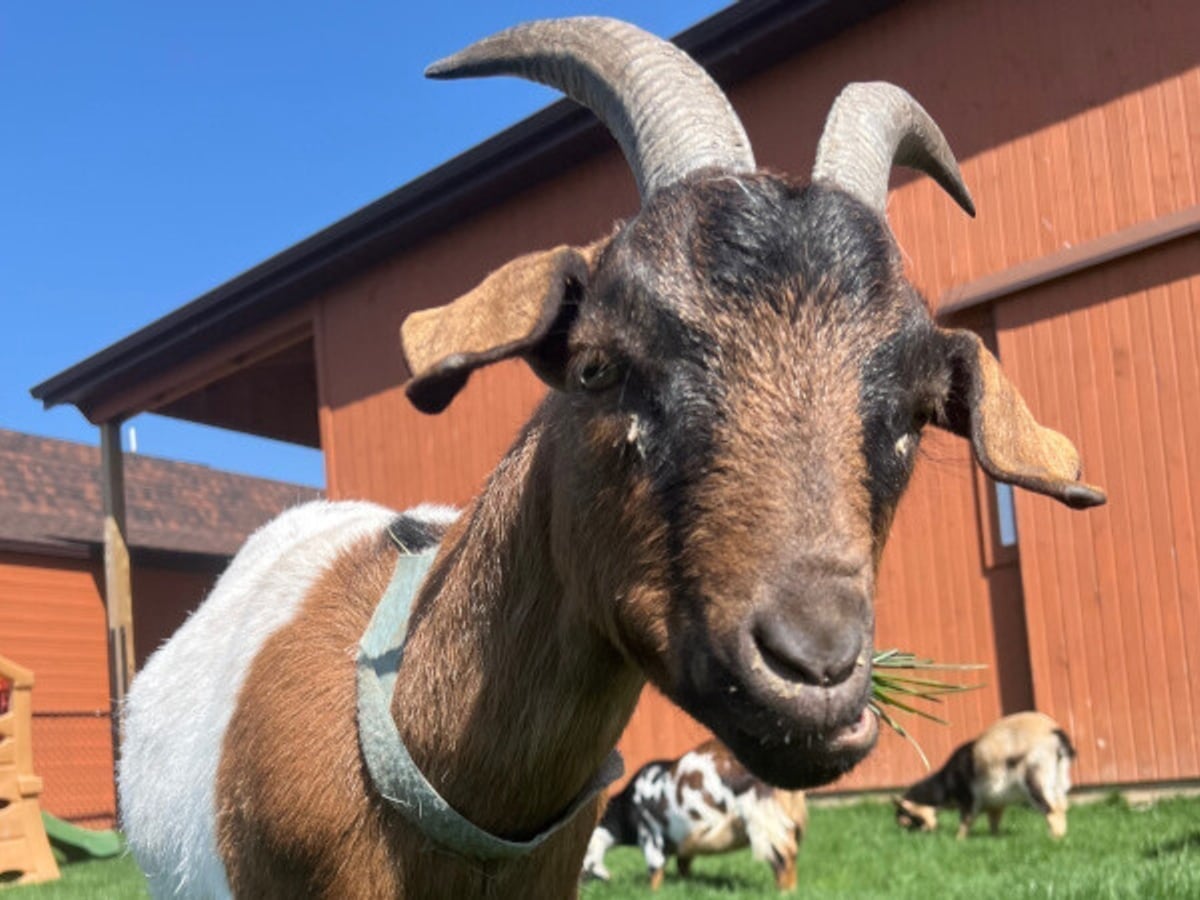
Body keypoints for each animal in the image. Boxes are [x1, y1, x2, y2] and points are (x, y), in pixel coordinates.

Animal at [582, 738, 807, 891]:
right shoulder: (685, 841)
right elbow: (683, 866)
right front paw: (685, 885)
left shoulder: (650, 833)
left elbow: (654, 869)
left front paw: (651, 891)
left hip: (763, 820)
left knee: (782, 856)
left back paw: (785, 892)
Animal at [894, 712, 1076, 839]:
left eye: (905, 819)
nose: (909, 836)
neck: (945, 783)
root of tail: (1055, 733)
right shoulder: (995, 802)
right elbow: (994, 820)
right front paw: (995, 837)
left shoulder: (968, 797)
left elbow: (966, 819)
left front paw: (959, 839)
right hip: (1058, 781)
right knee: (1062, 806)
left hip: (1035, 778)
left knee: (1052, 810)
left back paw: (1053, 838)